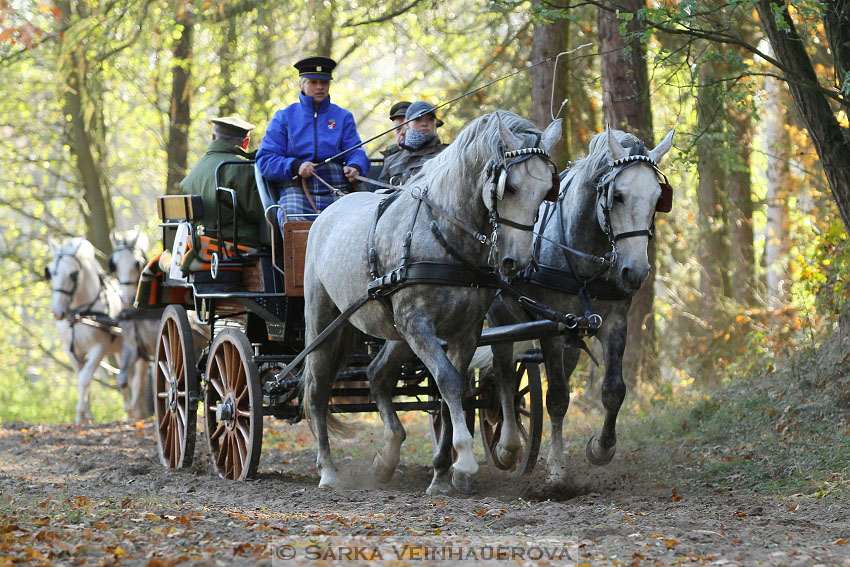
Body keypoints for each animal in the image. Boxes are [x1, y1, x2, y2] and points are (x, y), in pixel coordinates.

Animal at [46, 237, 125, 424]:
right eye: (51, 272)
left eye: (73, 274)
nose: (58, 313)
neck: (81, 313)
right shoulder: (72, 350)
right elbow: (80, 377)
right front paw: (85, 415)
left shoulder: (99, 347)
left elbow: (84, 378)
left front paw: (81, 413)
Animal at [302, 110, 560, 492]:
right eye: (510, 187)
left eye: (546, 190)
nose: (517, 262)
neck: (444, 234)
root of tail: (330, 208)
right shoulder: (418, 324)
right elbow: (448, 381)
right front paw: (464, 461)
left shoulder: (464, 331)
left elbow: (451, 390)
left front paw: (442, 473)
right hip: (325, 321)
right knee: (318, 391)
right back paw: (329, 471)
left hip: (395, 332)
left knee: (377, 374)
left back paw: (387, 456)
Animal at [484, 129, 668, 480]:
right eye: (618, 196)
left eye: (657, 198)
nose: (636, 271)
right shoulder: (550, 326)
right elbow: (556, 396)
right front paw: (557, 469)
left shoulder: (614, 322)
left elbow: (613, 389)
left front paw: (601, 448)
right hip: (501, 318)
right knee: (503, 376)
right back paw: (507, 446)